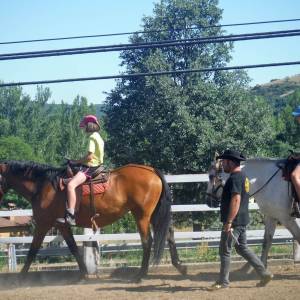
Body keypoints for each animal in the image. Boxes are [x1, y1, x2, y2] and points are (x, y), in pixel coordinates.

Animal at [0, 162, 186, 282]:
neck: (44, 187)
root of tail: (151, 170)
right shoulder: (62, 225)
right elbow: (73, 248)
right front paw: (83, 274)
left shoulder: (43, 224)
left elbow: (32, 250)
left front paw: (20, 278)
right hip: (154, 214)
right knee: (169, 234)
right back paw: (179, 266)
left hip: (142, 215)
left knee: (147, 242)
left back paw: (140, 275)